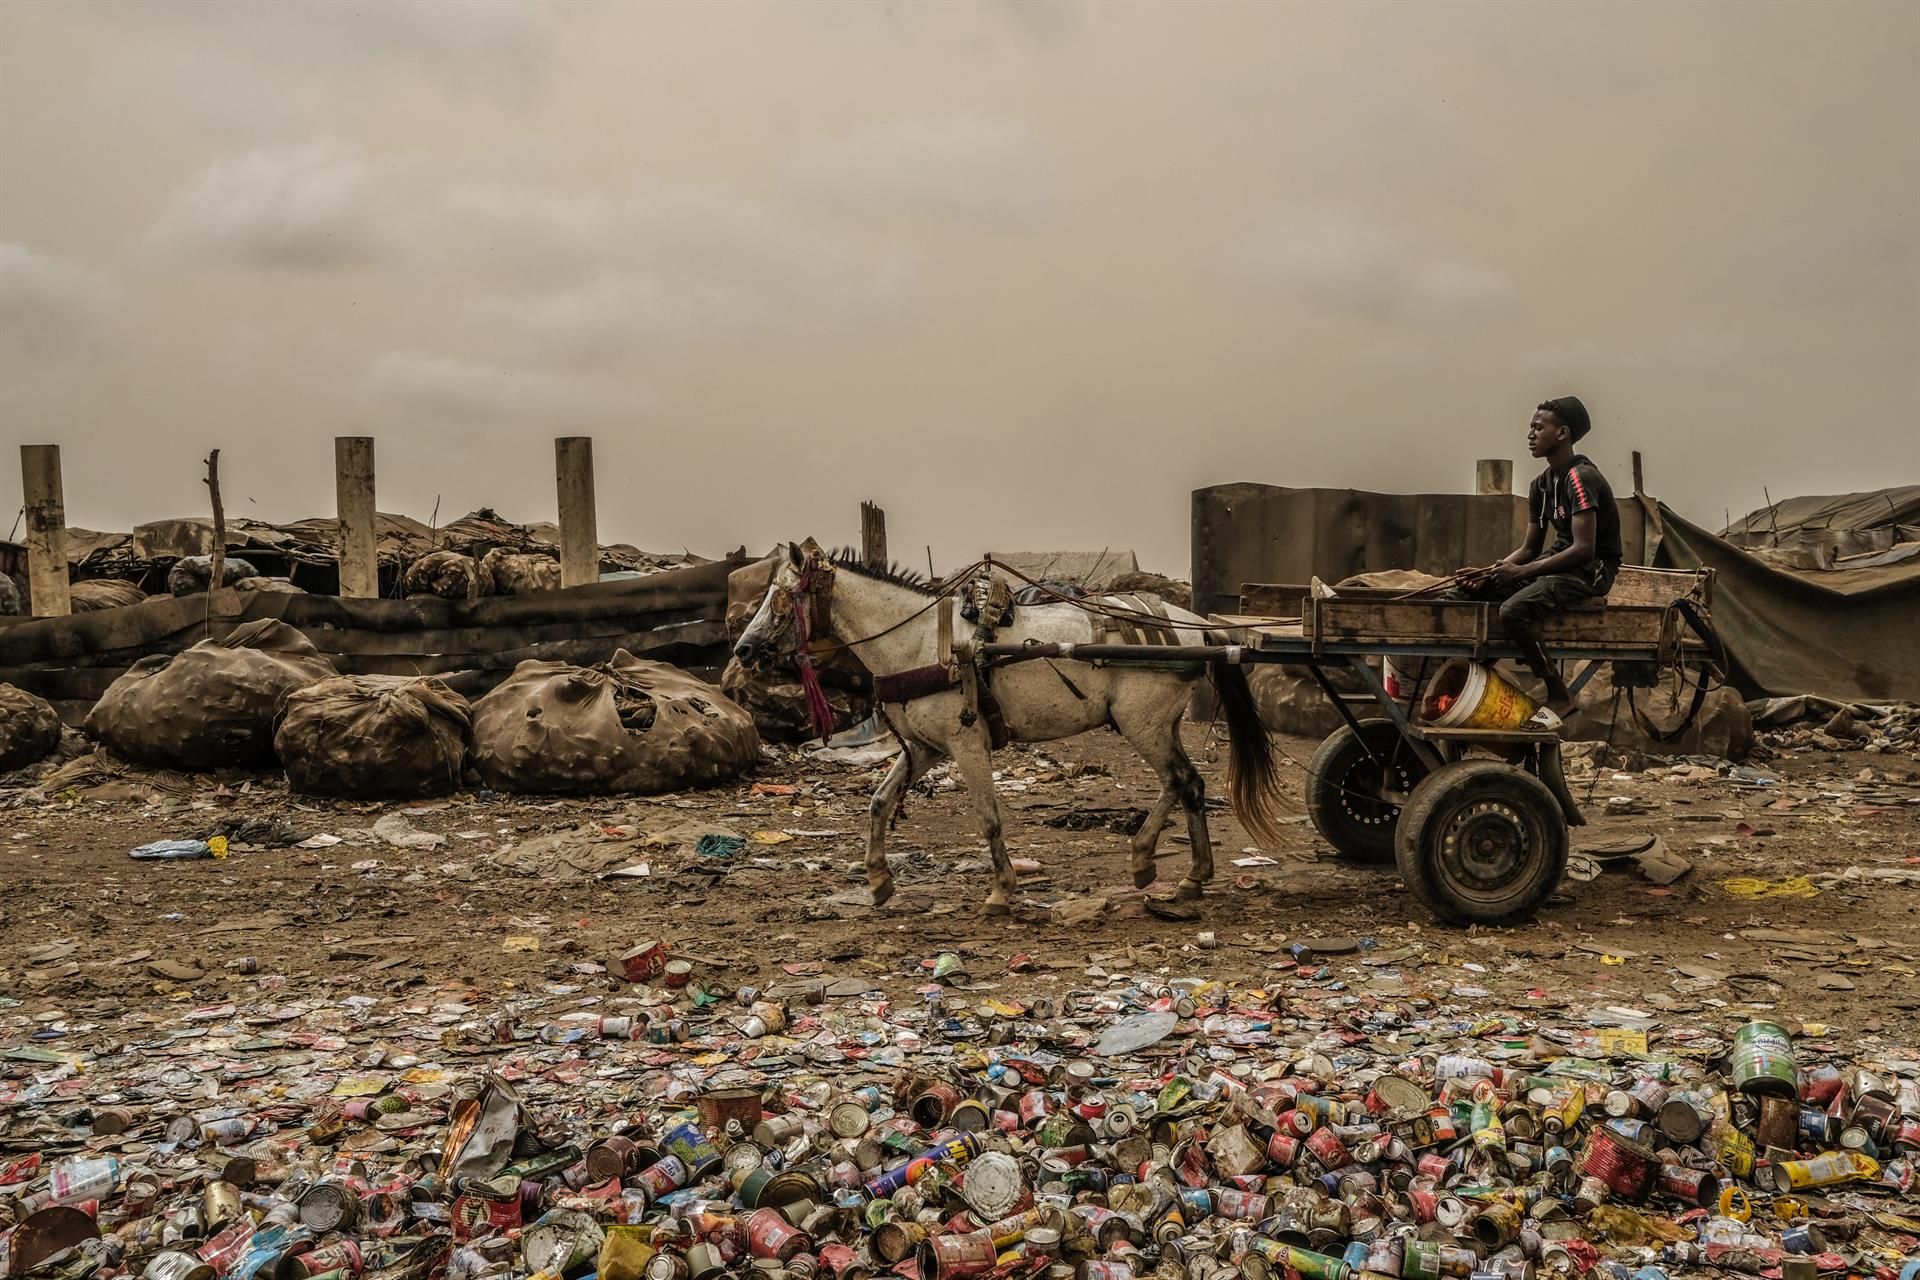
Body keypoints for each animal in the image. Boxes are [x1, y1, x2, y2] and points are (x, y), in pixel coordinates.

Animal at [733, 541, 1290, 909]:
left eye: (781, 597)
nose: (743, 649)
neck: (923, 643)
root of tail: (1195, 627)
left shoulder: (966, 742)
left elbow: (989, 817)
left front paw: (1001, 890)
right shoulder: (926, 748)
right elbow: (879, 802)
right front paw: (878, 879)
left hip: (1143, 724)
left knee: (1179, 780)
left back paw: (1152, 862)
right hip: (1156, 724)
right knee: (1188, 784)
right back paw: (1188, 874)